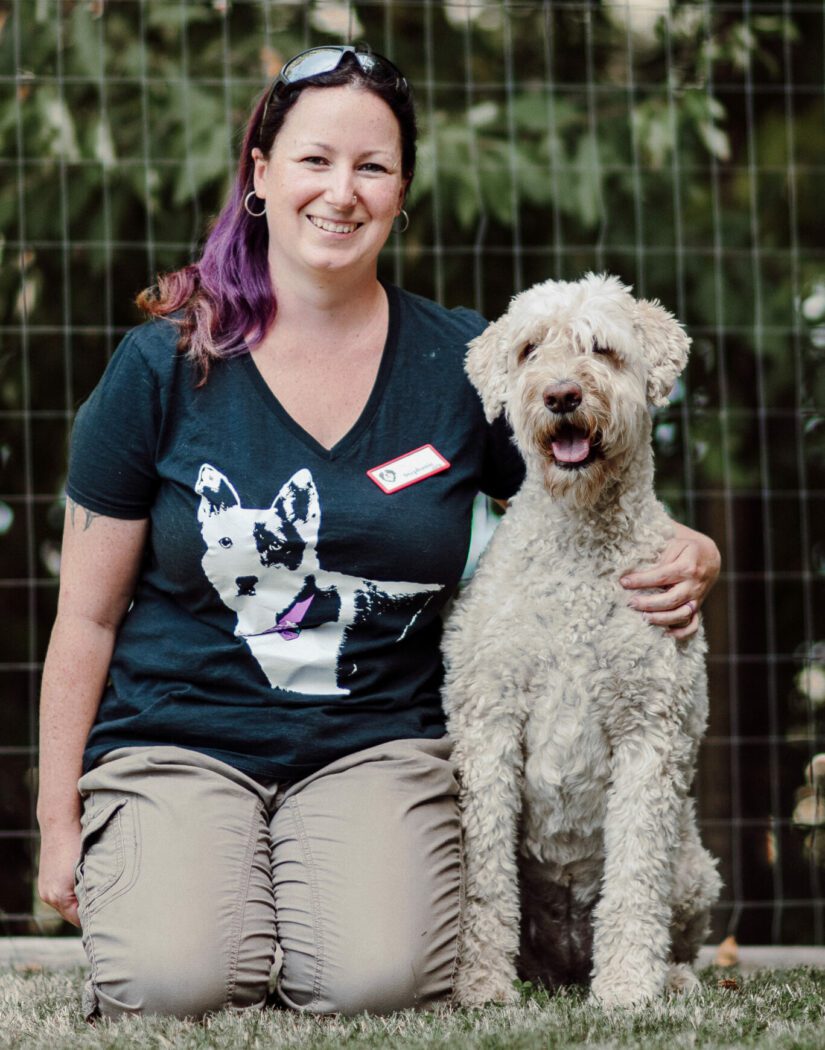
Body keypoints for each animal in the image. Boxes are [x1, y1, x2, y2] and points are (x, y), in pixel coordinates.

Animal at [440, 273, 717, 1007]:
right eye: (530, 349)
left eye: (602, 348)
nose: (562, 394)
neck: (578, 542)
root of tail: (563, 964)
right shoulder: (488, 722)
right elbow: (482, 878)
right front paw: (481, 988)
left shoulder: (650, 728)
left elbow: (636, 874)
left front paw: (625, 990)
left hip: (695, 867)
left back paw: (670, 977)